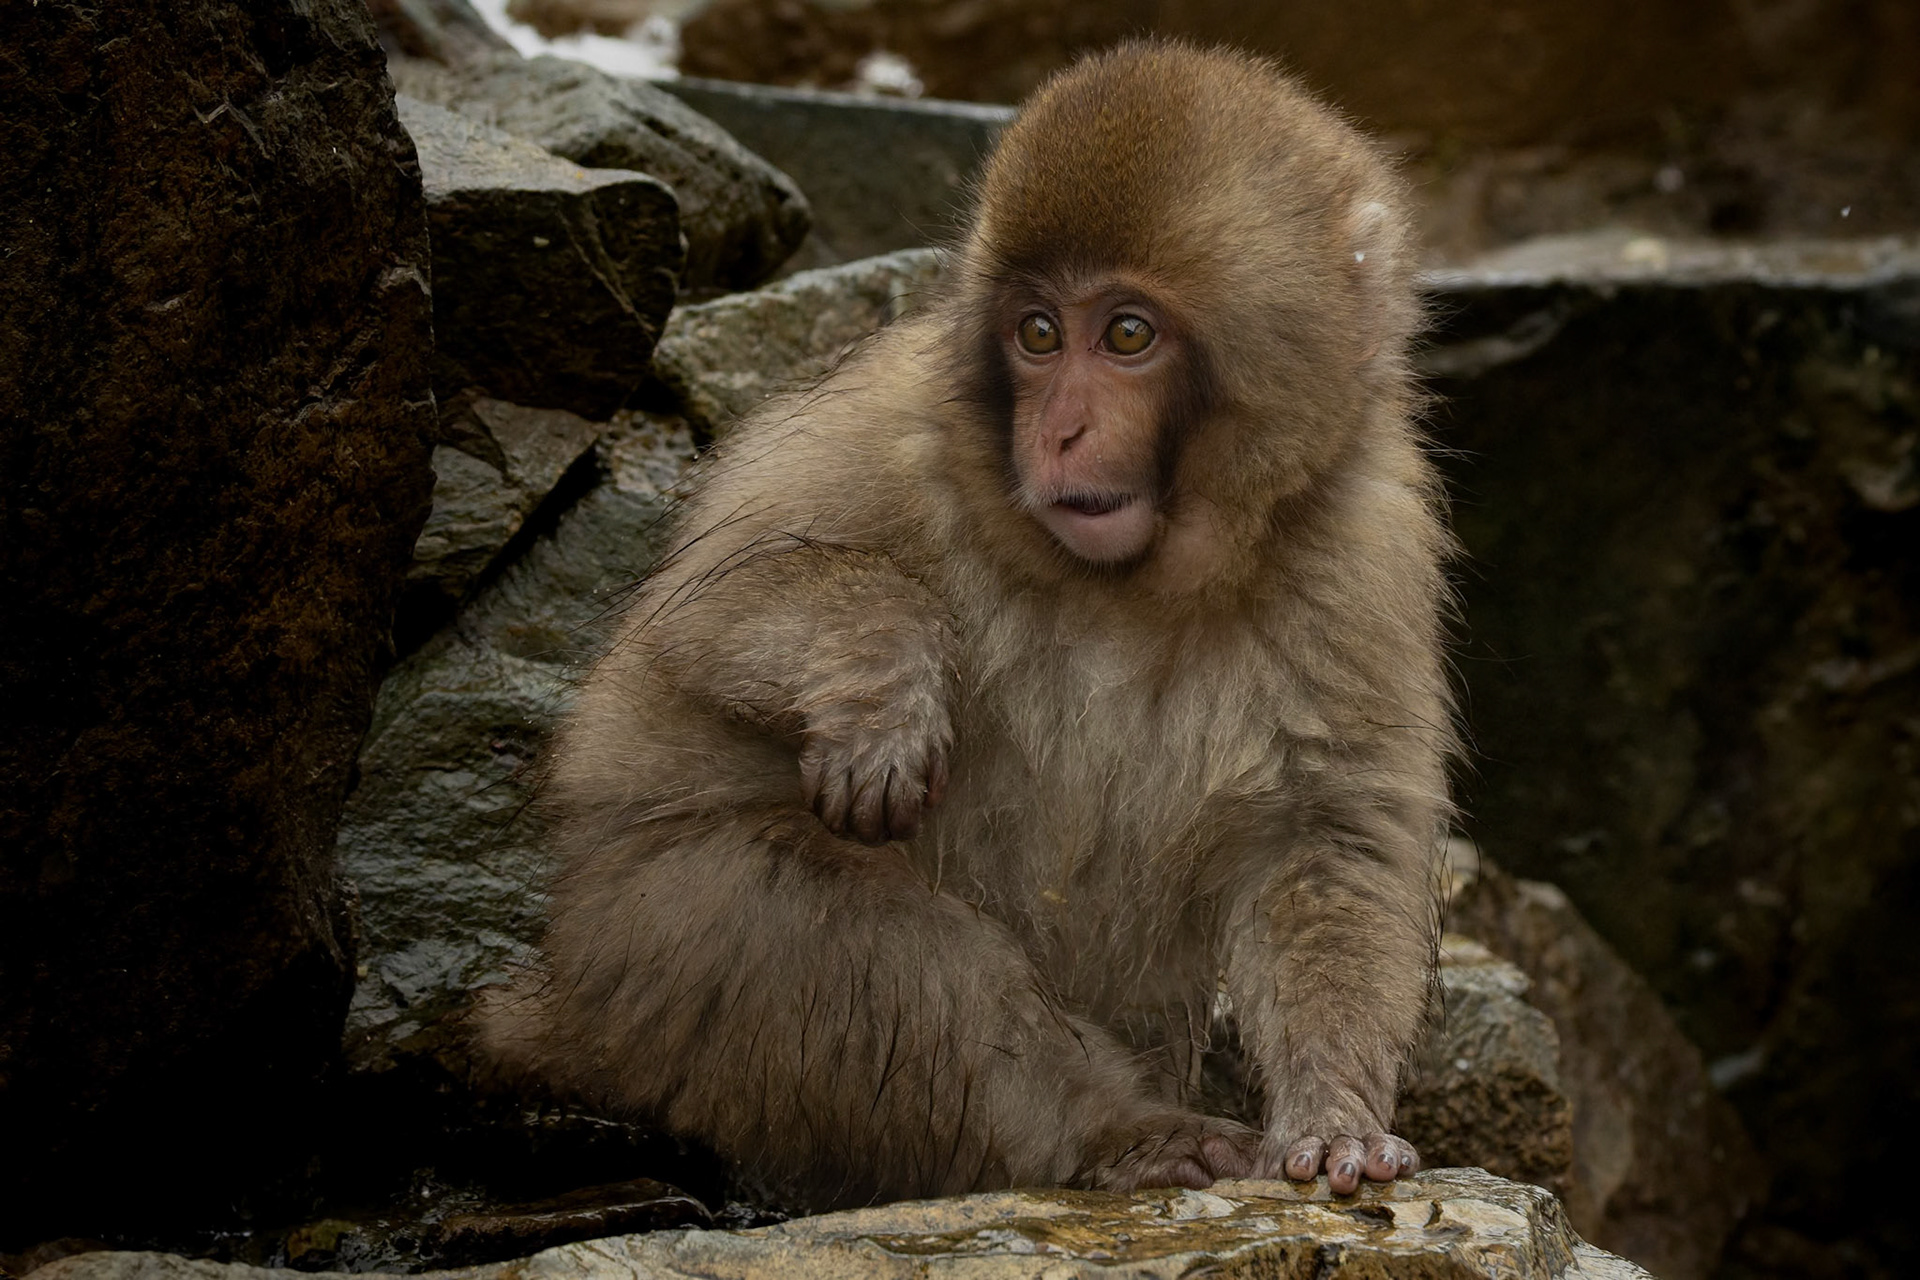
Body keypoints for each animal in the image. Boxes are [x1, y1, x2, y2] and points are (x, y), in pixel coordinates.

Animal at [480, 38, 1454, 1209]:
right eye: (1037, 334)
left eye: (1127, 333)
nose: (1059, 430)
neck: (1134, 578)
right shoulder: (896, 424)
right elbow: (697, 621)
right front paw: (885, 693)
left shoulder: (1366, 546)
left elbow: (1329, 837)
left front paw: (1335, 1110)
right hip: (651, 959)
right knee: (828, 925)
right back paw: (1119, 1130)